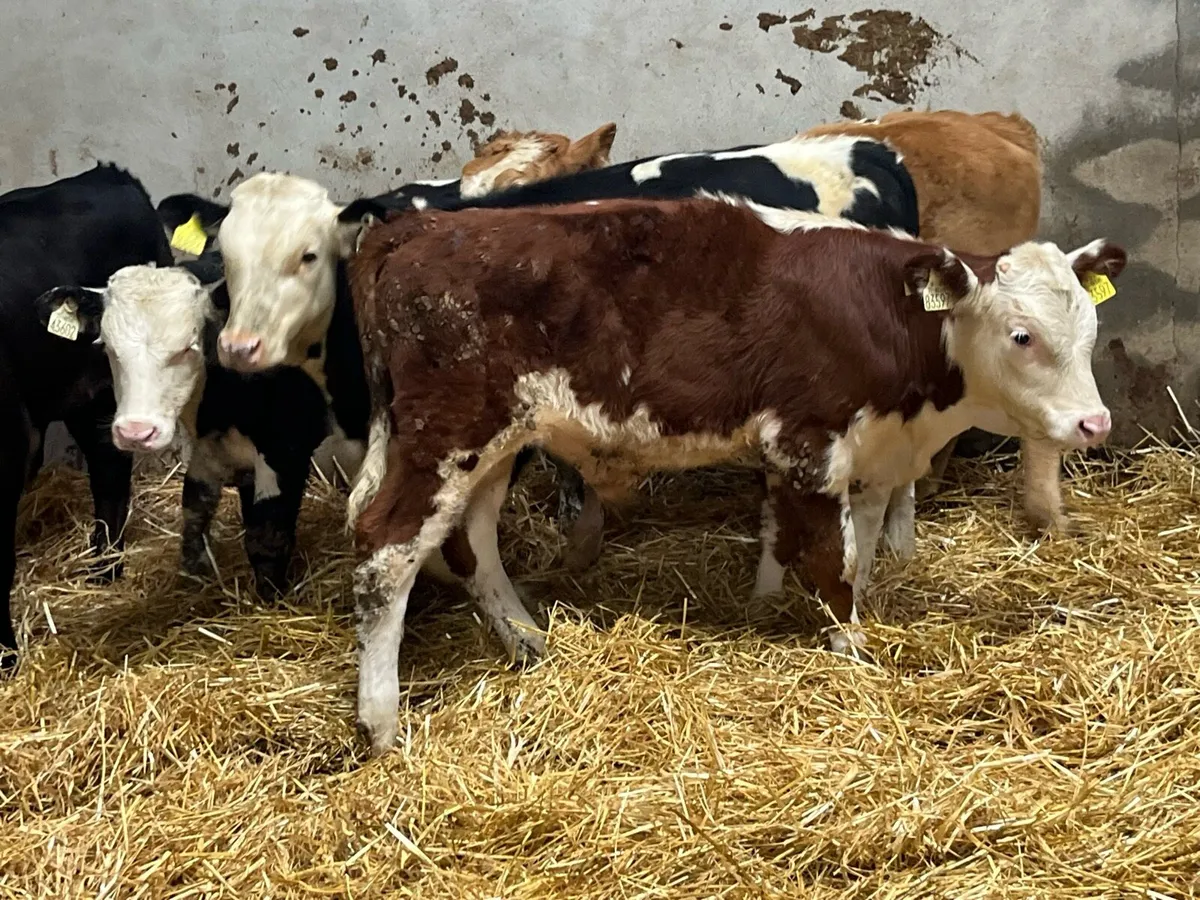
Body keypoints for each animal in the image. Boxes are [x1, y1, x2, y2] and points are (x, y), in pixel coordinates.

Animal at [34, 252, 331, 597]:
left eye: (189, 347)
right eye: (107, 346)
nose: (135, 432)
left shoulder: (287, 444)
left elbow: (268, 537)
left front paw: (270, 601)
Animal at [342, 197, 1125, 754]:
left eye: (1090, 331)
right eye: (1022, 336)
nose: (1095, 424)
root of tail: (415, 228)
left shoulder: (860, 455)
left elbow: (832, 544)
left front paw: (778, 608)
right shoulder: (809, 441)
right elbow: (834, 561)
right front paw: (851, 652)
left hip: (497, 442)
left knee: (470, 541)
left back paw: (530, 642)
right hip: (448, 430)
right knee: (387, 551)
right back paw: (382, 725)